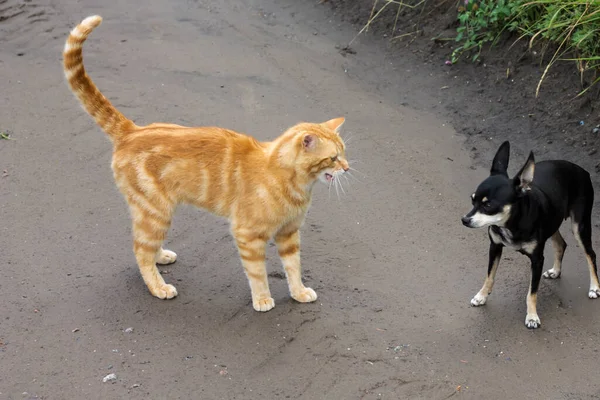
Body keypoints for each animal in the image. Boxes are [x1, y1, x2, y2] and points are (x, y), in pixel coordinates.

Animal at [63, 15, 350, 310]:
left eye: (344, 152)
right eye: (333, 157)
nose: (347, 167)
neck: (294, 184)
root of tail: (132, 130)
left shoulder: (289, 234)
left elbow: (293, 267)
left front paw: (299, 292)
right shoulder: (248, 235)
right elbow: (258, 273)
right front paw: (262, 299)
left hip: (152, 213)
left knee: (145, 244)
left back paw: (160, 256)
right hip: (155, 211)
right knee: (140, 249)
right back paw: (158, 286)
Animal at [462, 141, 596, 328]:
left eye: (488, 205)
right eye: (472, 199)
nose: (464, 220)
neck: (511, 224)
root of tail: (583, 171)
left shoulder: (537, 260)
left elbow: (532, 292)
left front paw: (532, 316)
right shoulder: (495, 247)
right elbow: (489, 276)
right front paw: (481, 296)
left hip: (579, 226)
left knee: (591, 254)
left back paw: (594, 287)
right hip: (553, 221)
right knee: (561, 244)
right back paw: (556, 271)